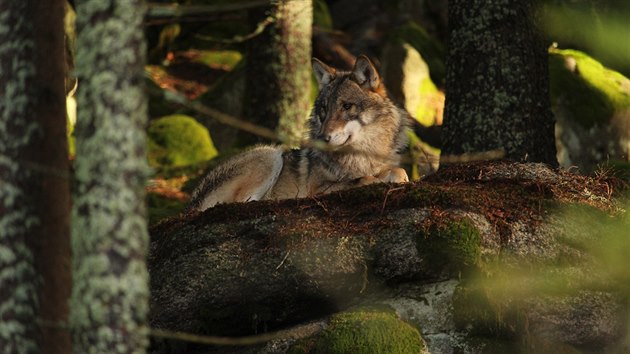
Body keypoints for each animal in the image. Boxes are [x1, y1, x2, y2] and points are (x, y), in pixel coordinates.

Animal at [188, 55, 412, 210]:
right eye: (324, 110)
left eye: (347, 106)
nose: (322, 138)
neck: (362, 156)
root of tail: (191, 204)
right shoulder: (318, 189)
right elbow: (363, 180)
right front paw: (374, 180)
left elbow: (400, 171)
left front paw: (395, 178)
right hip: (270, 154)